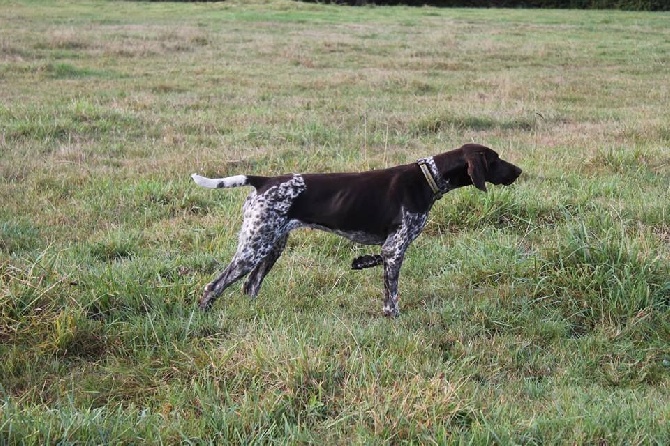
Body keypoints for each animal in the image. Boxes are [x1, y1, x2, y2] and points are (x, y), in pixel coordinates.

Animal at [192, 144, 524, 318]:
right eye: (495, 159)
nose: (519, 171)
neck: (428, 177)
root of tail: (263, 180)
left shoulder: (389, 248)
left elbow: (377, 262)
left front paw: (361, 262)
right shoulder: (395, 247)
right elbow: (392, 295)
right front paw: (393, 318)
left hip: (272, 245)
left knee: (250, 285)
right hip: (254, 247)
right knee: (214, 286)